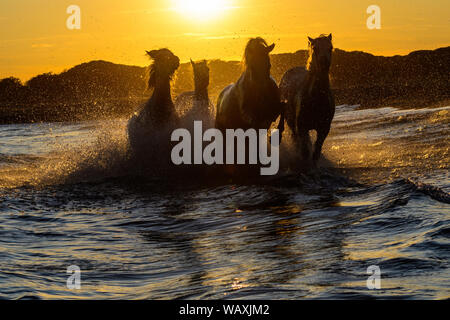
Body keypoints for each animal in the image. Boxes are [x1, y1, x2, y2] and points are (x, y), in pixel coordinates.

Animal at [280, 34, 336, 166]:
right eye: (315, 48)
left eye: (330, 47)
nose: (324, 64)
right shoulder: (301, 127)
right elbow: (305, 151)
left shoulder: (324, 128)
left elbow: (316, 151)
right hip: (291, 123)